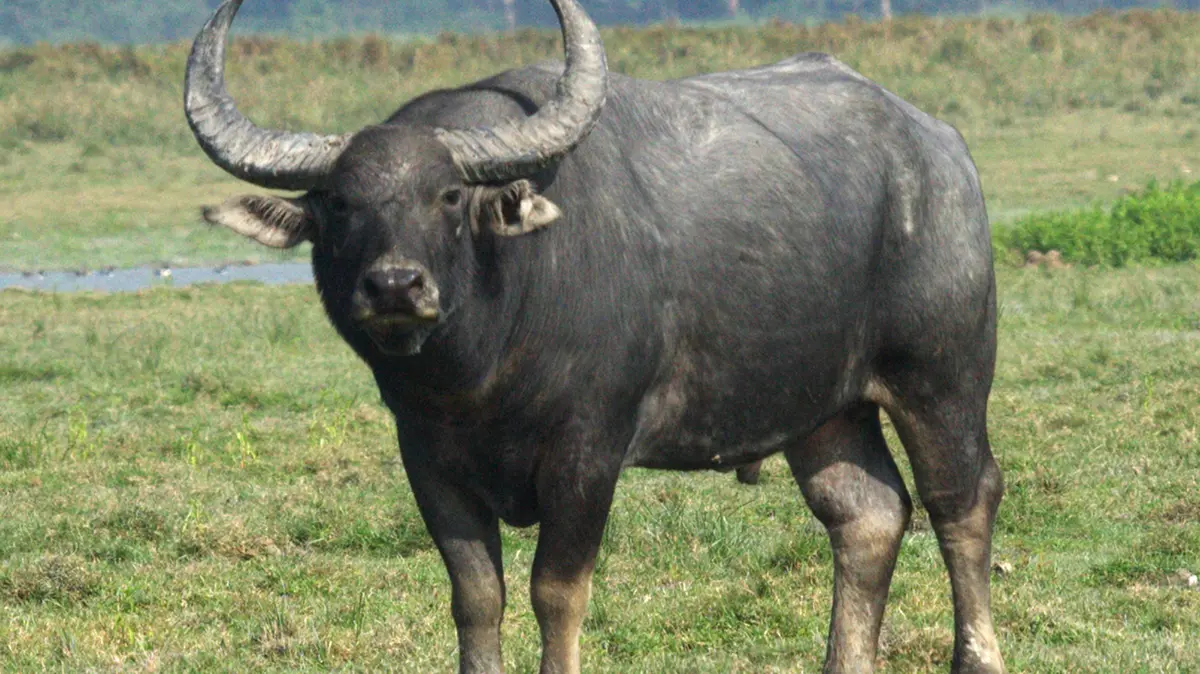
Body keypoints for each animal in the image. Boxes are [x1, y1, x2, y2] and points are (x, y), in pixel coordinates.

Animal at [184, 1, 1005, 672]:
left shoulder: (588, 452)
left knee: (961, 501)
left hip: (942, 376)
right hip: (824, 408)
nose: (394, 285)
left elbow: (556, 592)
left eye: (447, 195)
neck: (480, 375)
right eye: (339, 204)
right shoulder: (428, 459)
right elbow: (476, 597)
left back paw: (977, 656)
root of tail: (942, 149)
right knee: (867, 515)